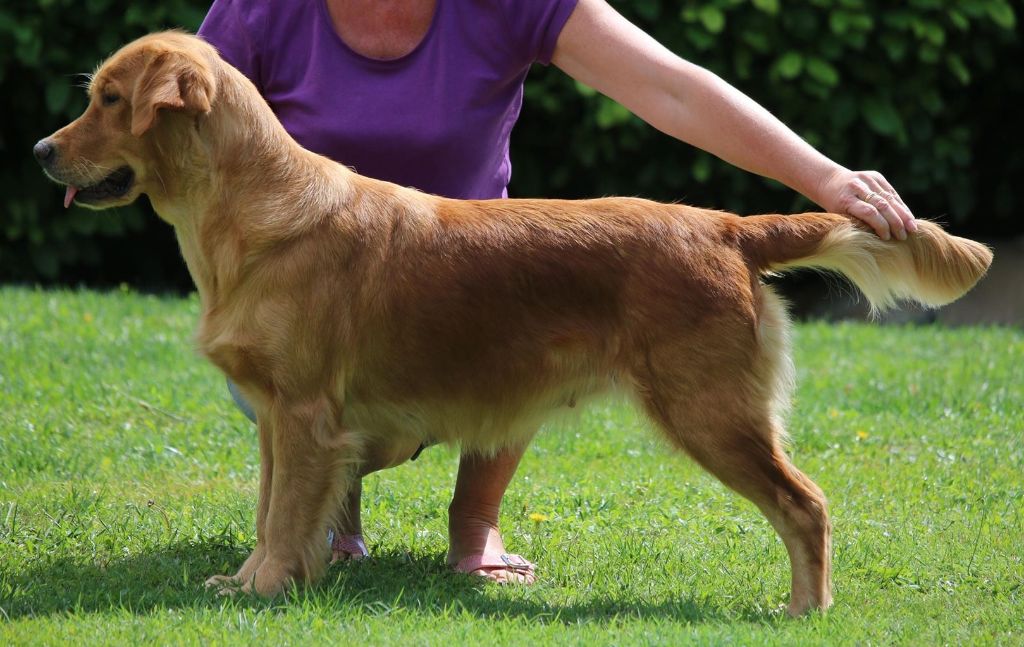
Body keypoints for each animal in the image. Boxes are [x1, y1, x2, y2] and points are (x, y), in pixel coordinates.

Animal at [36, 31, 987, 618]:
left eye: (110, 98)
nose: (42, 151)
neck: (245, 213)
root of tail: (723, 225)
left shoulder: (305, 412)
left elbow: (281, 515)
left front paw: (266, 587)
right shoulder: (277, 414)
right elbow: (273, 505)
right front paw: (248, 581)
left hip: (709, 408)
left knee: (805, 503)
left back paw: (803, 607)